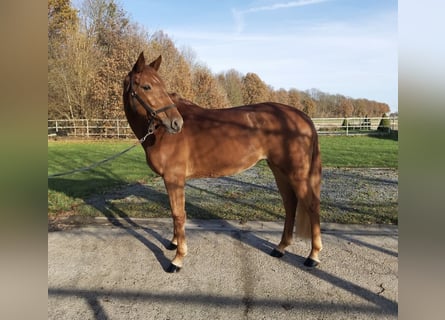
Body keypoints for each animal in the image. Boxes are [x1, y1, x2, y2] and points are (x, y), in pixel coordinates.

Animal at [123, 52, 320, 272]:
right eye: (147, 86)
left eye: (161, 87)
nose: (176, 123)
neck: (159, 134)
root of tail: (302, 117)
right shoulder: (172, 180)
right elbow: (176, 213)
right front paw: (173, 243)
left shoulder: (174, 178)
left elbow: (178, 214)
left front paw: (177, 259)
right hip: (280, 171)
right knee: (290, 204)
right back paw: (280, 248)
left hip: (297, 173)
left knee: (312, 205)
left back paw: (313, 256)